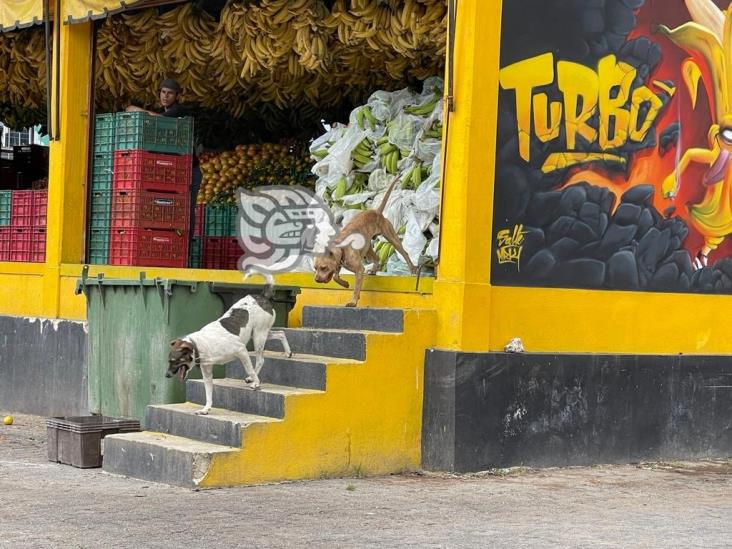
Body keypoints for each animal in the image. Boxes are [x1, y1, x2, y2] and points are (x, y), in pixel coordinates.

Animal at [167, 272, 292, 414]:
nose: (166, 375)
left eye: (173, 361)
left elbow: (249, 369)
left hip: (259, 335)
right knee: (281, 333)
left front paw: (257, 383)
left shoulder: (241, 350)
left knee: (260, 360)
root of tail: (261, 296)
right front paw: (206, 409)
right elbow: (208, 393)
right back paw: (288, 352)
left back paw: (254, 380)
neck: (200, 345)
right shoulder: (207, 373)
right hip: (261, 333)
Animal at [314, 176, 418, 306]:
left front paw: (353, 302)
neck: (341, 248)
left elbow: (356, 288)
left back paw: (412, 269)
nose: (316, 280)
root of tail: (376, 211)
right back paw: (373, 270)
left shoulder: (359, 269)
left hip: (392, 238)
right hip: (368, 247)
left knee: (405, 253)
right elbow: (335, 277)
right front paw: (345, 284)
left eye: (323, 268)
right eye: (315, 268)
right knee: (377, 258)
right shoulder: (338, 265)